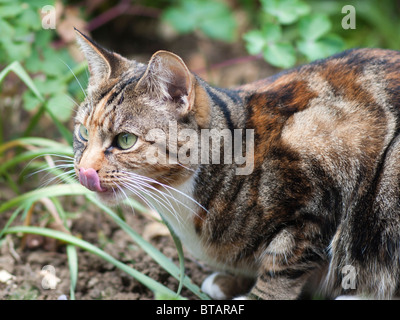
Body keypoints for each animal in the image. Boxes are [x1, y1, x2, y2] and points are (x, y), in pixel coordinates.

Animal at [73, 28, 400, 300]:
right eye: (83, 133)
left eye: (125, 140)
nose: (84, 170)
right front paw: (229, 282)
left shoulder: (316, 199)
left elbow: (280, 269)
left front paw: (256, 295)